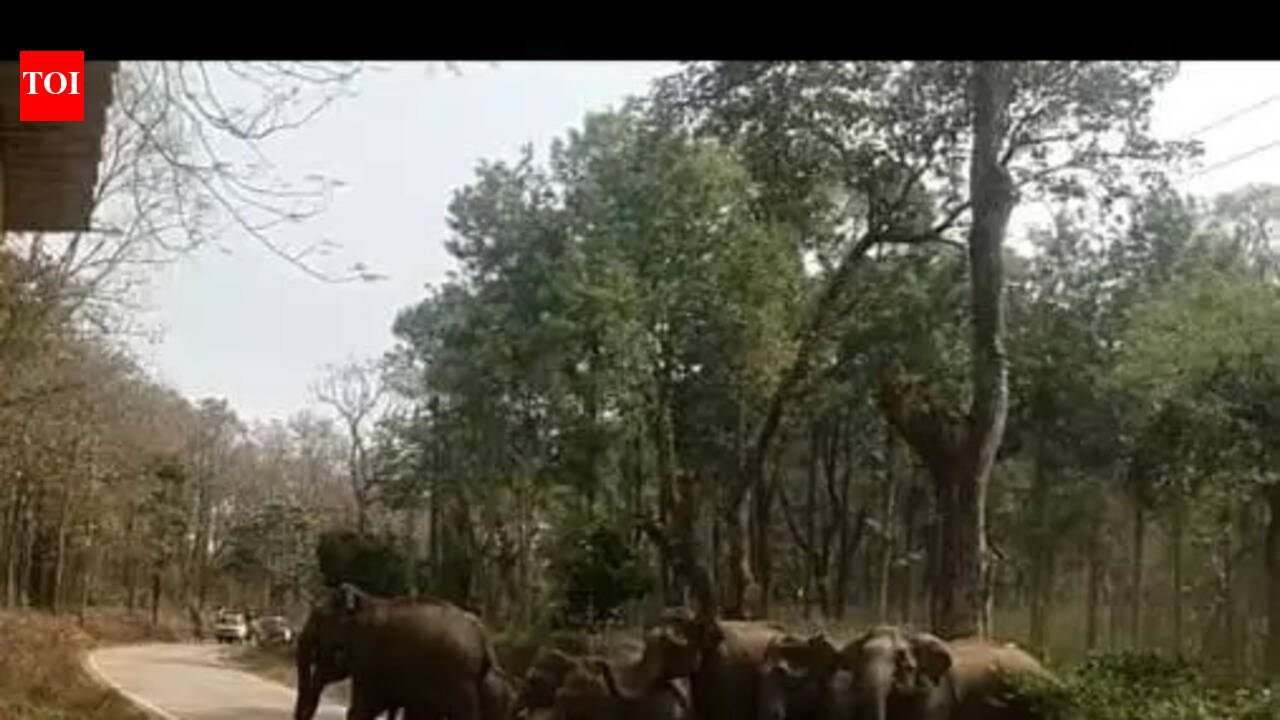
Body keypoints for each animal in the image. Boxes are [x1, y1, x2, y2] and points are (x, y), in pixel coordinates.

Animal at [293, 583, 511, 720]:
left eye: (319, 617)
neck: (365, 600)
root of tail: (485, 644)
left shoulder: (371, 656)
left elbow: (361, 709)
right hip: (491, 688)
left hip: (461, 682)